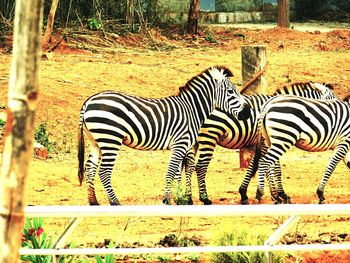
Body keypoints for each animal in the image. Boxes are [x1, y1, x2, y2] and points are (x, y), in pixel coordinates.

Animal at [78, 66, 252, 206]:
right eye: (230, 92)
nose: (248, 112)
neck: (192, 109)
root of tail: (89, 101)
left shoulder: (182, 146)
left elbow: (179, 171)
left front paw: (179, 199)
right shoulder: (180, 143)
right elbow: (171, 171)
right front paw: (167, 199)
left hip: (96, 141)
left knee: (90, 168)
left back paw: (93, 201)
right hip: (110, 139)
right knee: (104, 171)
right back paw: (114, 202)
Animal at [182, 81, 334, 205]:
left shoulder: (264, 142)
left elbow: (257, 166)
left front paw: (247, 193)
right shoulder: (268, 142)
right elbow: (274, 168)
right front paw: (280, 195)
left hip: (194, 141)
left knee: (189, 166)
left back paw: (187, 198)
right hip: (209, 136)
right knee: (200, 166)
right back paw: (204, 198)